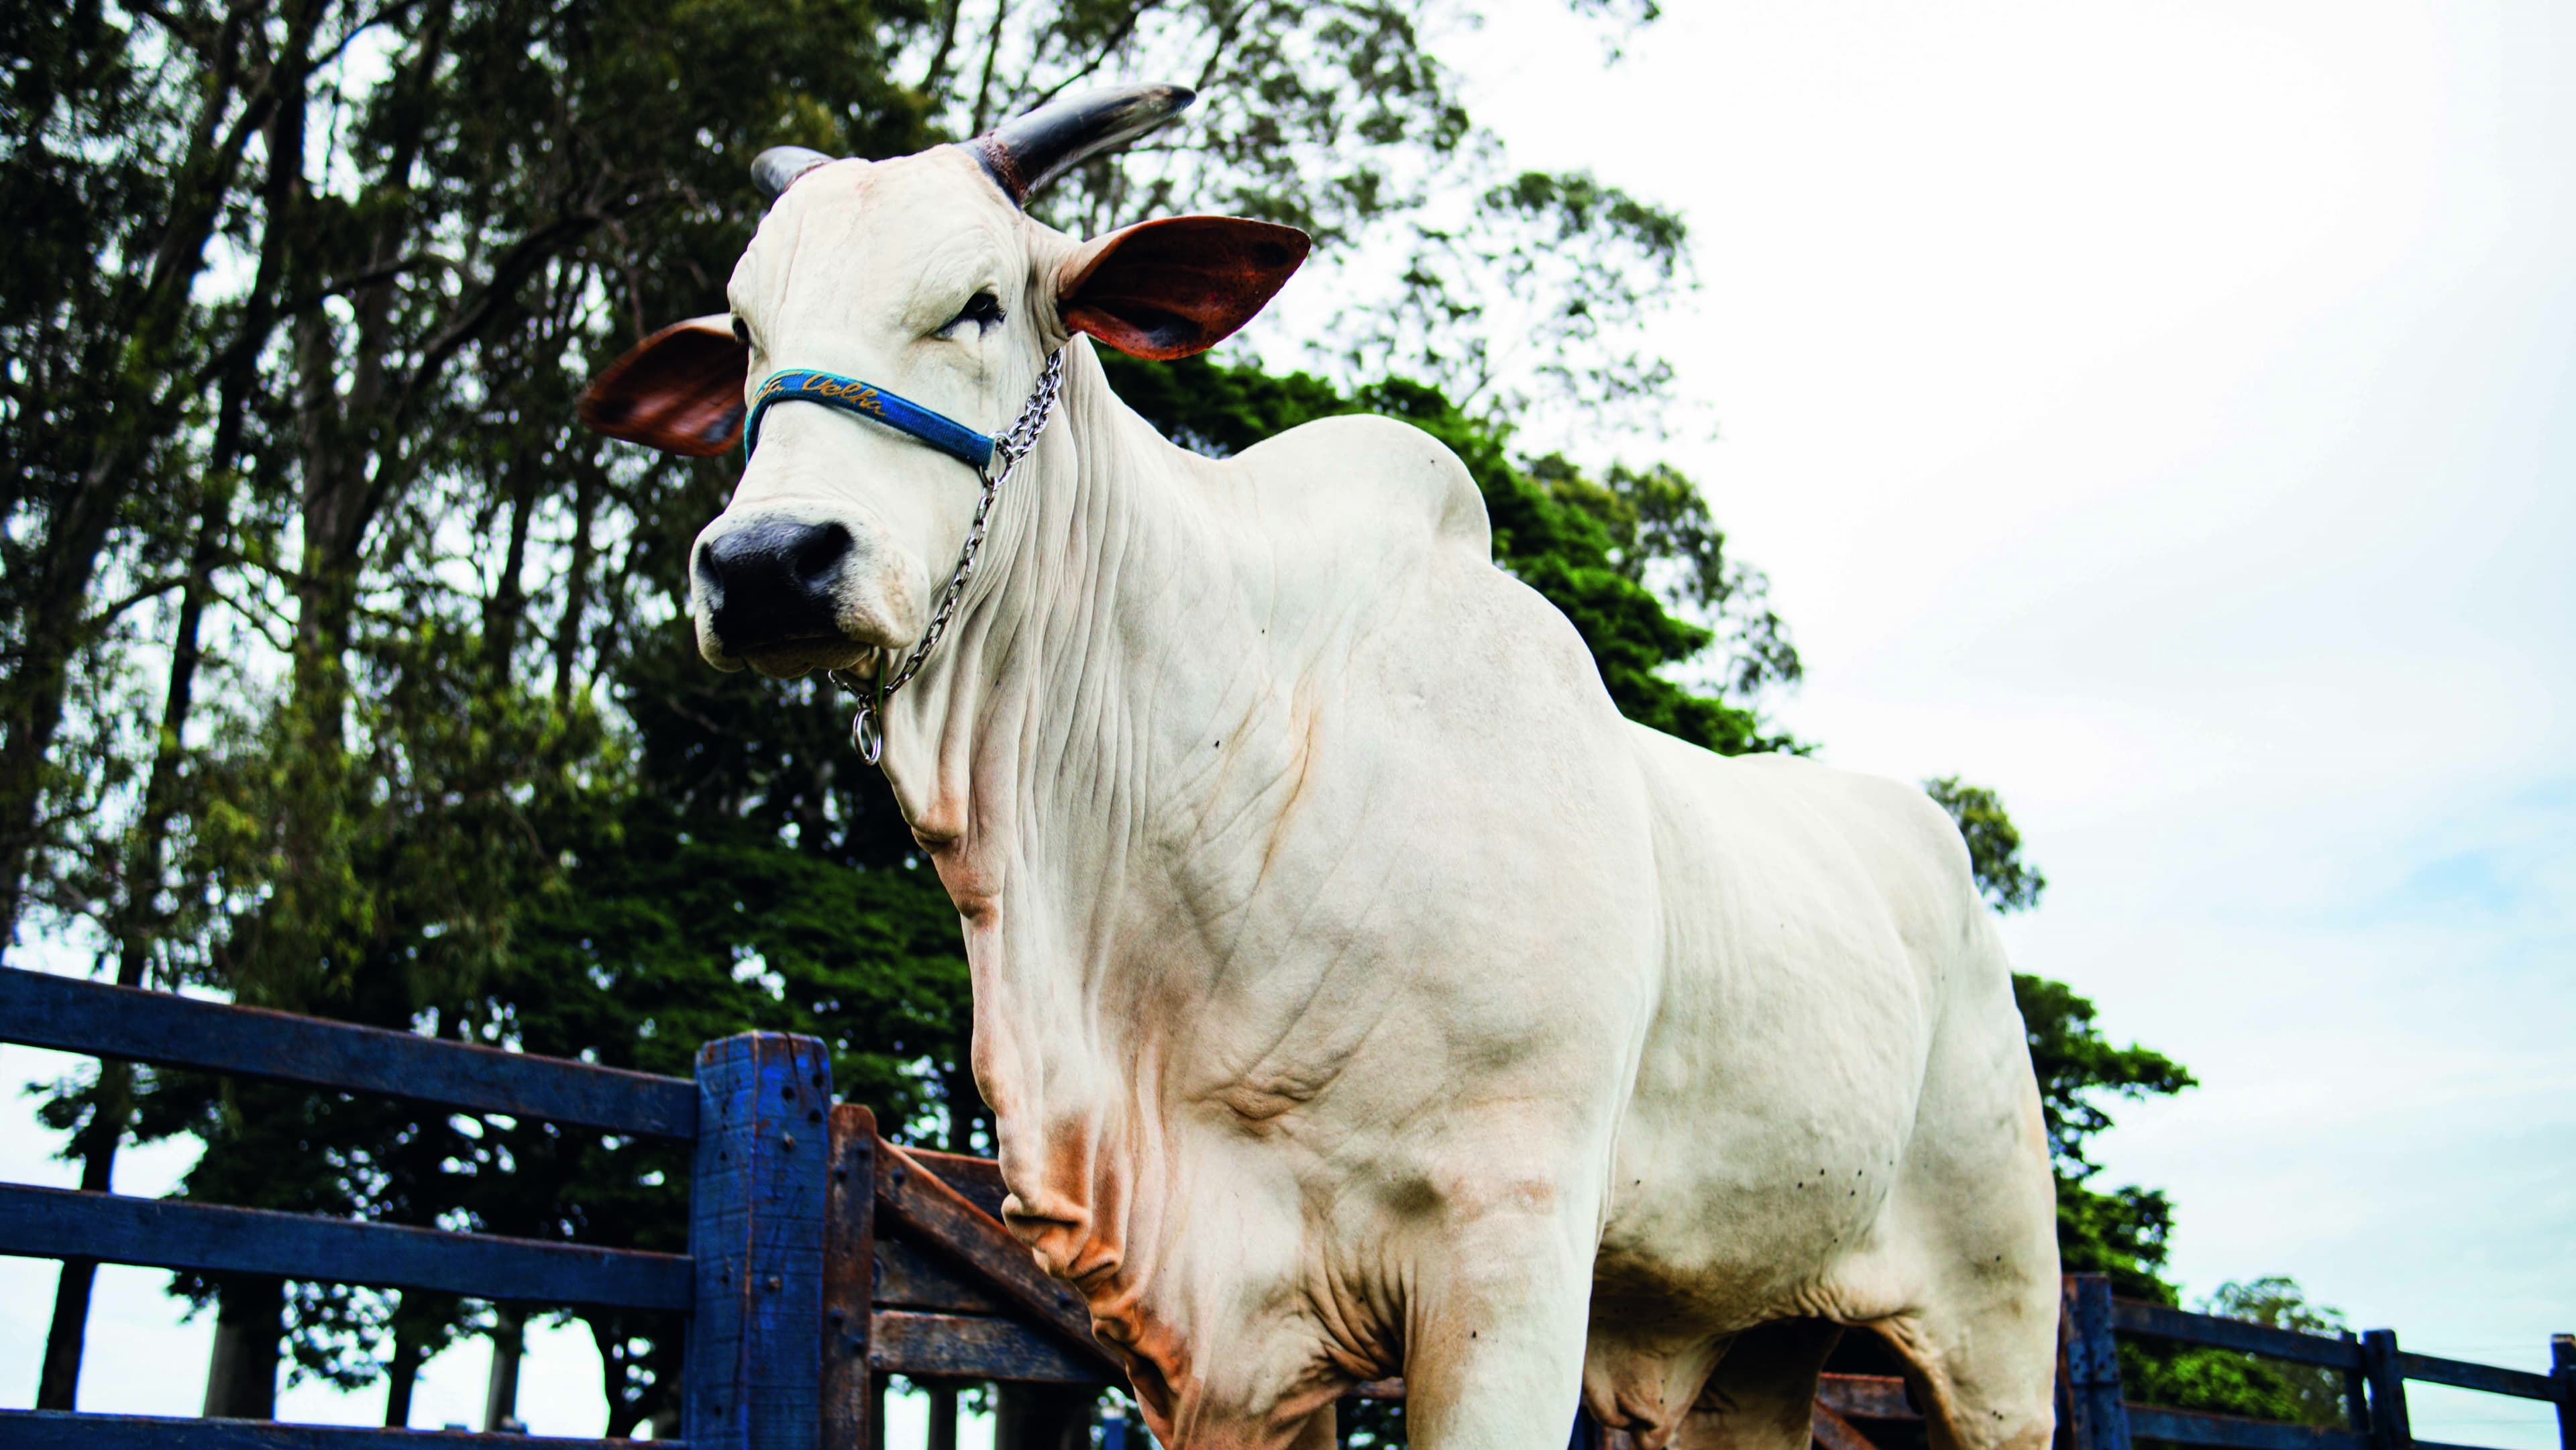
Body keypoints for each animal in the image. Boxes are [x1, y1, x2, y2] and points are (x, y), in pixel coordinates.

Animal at [581, 84, 2060, 1450]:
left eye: (980, 303)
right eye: (748, 333)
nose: (769, 564)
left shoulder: (1511, 1250)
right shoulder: (1220, 1342)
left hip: (2000, 1332)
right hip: (1758, 1335)